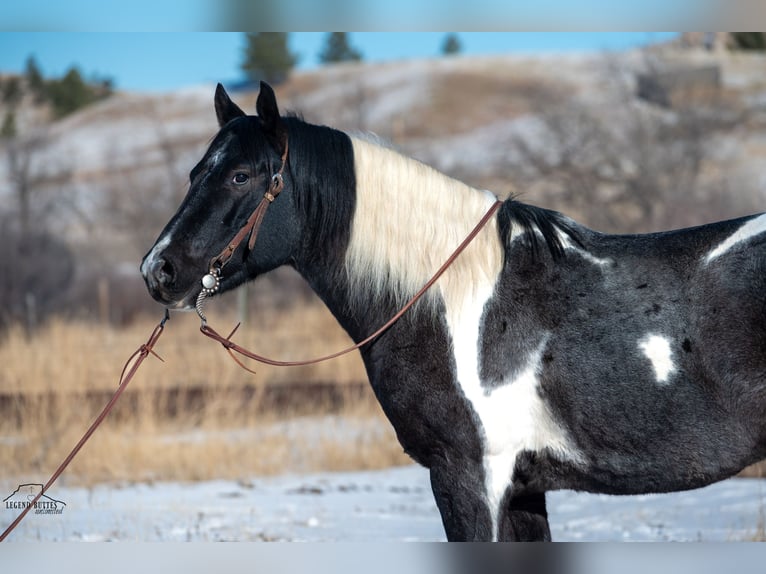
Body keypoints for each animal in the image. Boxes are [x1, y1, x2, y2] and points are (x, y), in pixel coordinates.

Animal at [142, 82, 766, 544]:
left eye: (240, 176)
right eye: (196, 172)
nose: (158, 269)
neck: (451, 302)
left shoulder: (468, 476)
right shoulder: (524, 487)